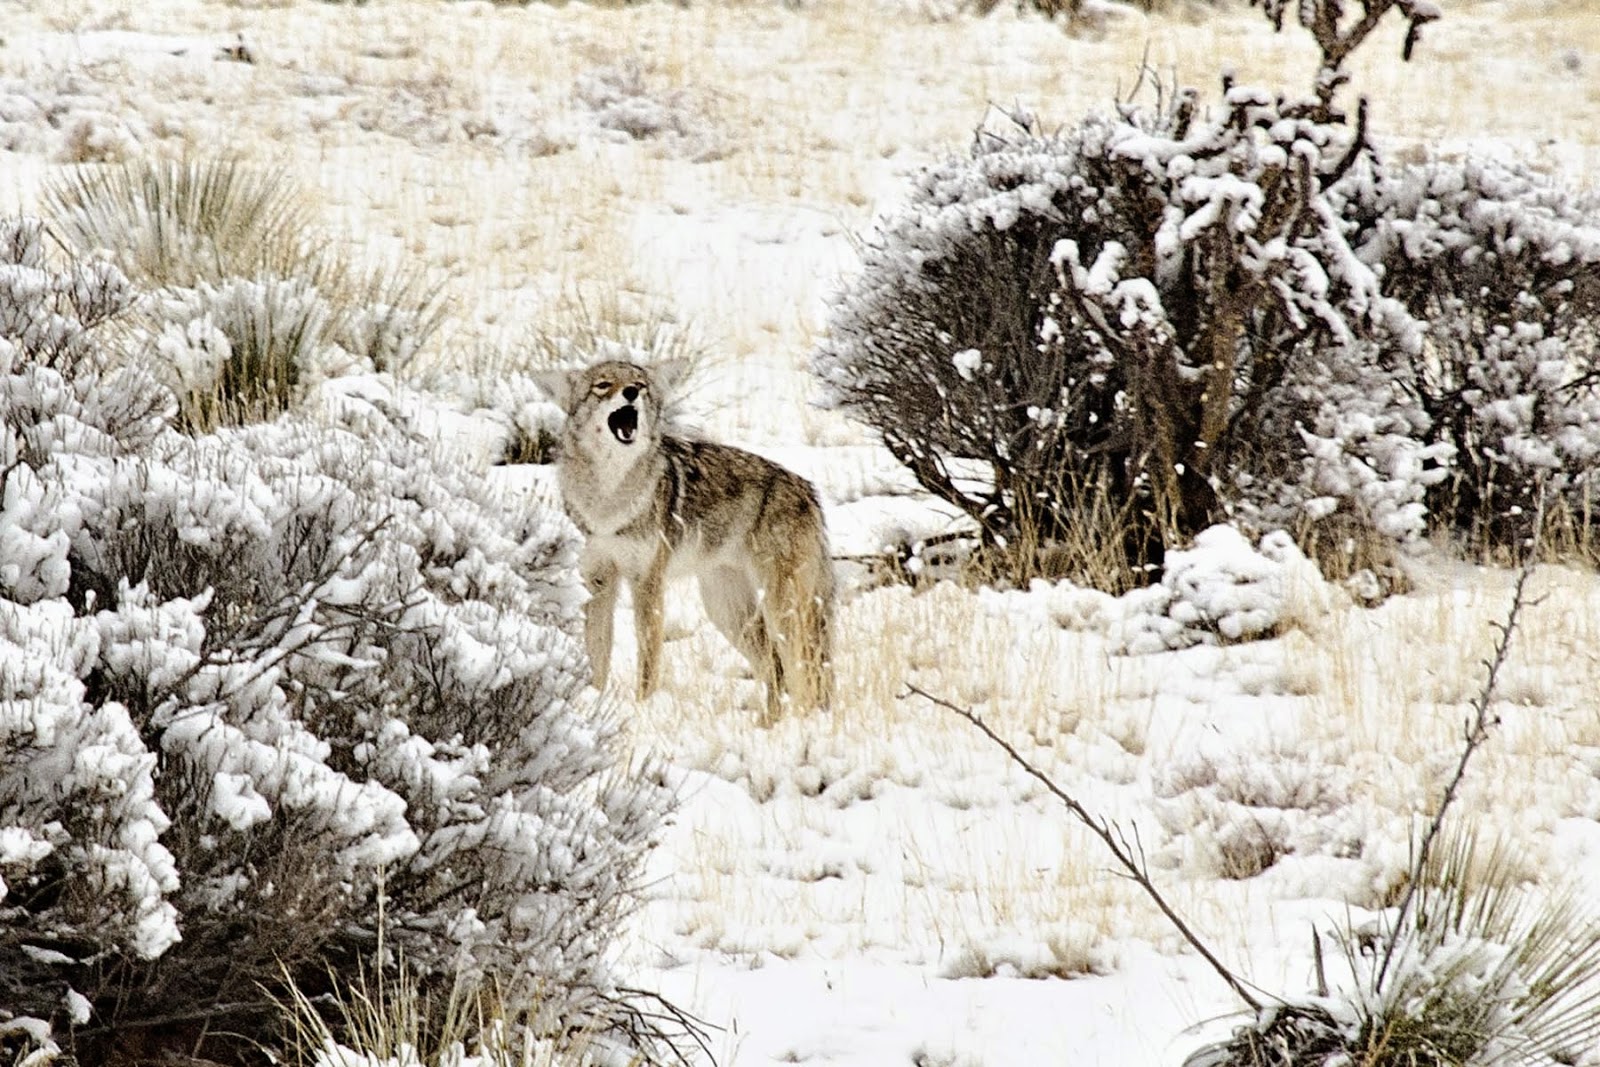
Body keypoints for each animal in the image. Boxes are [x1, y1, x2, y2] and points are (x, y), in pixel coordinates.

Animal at [534, 359, 834, 720]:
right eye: (603, 385)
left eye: (640, 384)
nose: (631, 392)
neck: (608, 501)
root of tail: (809, 490)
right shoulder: (598, 580)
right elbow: (597, 654)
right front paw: (593, 704)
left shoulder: (647, 582)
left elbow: (648, 660)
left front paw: (644, 709)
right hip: (727, 611)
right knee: (776, 670)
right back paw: (768, 724)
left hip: (782, 610)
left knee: (806, 673)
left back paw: (807, 723)